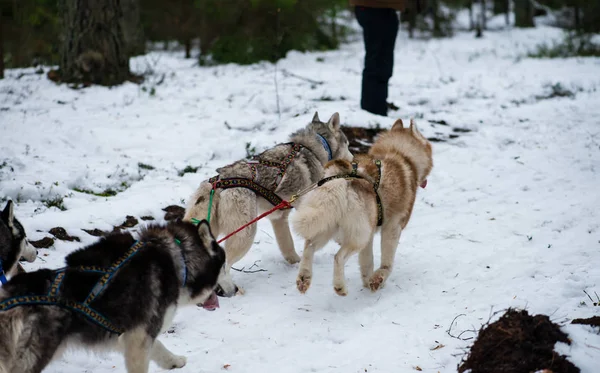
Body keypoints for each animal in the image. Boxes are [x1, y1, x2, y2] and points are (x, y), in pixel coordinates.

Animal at [0, 218, 234, 372]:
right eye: (224, 266)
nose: (234, 290)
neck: (180, 261)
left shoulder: (125, 333)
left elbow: (158, 346)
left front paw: (173, 361)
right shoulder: (139, 337)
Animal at [183, 111, 352, 290]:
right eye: (348, 144)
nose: (353, 160)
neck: (313, 148)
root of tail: (216, 184)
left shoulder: (279, 218)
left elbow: (287, 245)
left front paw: (295, 262)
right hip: (245, 234)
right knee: (225, 265)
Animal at [290, 119, 432, 296]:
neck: (400, 153)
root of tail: (341, 179)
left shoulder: (370, 233)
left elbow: (367, 262)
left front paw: (368, 281)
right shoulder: (392, 228)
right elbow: (387, 263)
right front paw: (378, 278)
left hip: (328, 224)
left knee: (309, 247)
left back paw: (304, 278)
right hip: (358, 237)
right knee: (338, 257)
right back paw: (340, 286)